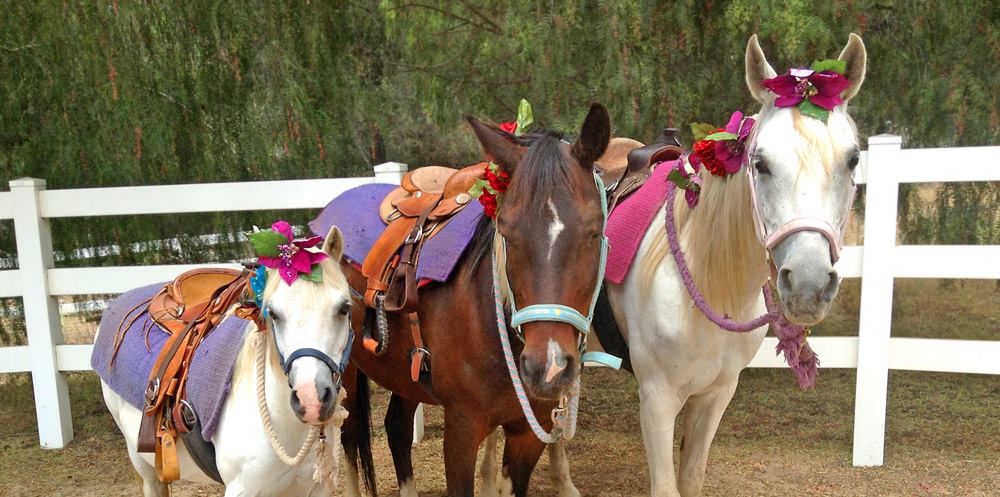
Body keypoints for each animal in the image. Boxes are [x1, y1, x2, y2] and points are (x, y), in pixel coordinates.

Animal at [98, 228, 356, 496]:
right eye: (273, 313)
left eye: (344, 308)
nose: (311, 399)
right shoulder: (242, 489)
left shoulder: (315, 488)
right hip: (142, 464)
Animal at [340, 103, 612, 496]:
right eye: (507, 231)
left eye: (593, 231)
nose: (548, 367)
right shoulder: (462, 430)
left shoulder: (529, 434)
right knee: (348, 437)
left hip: (405, 376)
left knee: (397, 428)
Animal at [478, 34, 868, 496]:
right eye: (760, 163)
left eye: (853, 160)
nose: (808, 285)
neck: (711, 287)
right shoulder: (657, 401)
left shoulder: (716, 396)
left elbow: (692, 476)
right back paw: (491, 479)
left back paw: (563, 481)